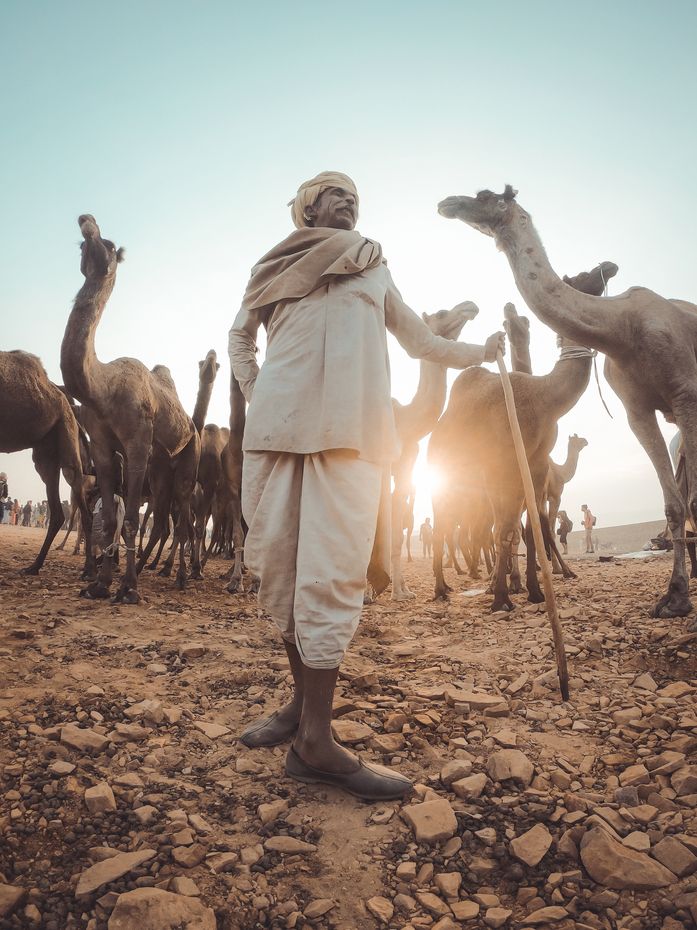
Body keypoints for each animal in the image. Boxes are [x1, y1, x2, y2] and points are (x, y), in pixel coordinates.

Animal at [0, 352, 94, 577]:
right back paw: (34, 566)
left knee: (81, 504)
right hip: (46, 451)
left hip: (66, 432)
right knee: (58, 512)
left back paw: (89, 569)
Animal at [61, 215, 199, 602]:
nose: (87, 220)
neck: (103, 388)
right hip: (163, 471)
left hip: (189, 460)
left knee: (185, 521)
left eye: (109, 245)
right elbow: (110, 520)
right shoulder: (102, 447)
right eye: (83, 246)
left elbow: (132, 520)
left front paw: (129, 589)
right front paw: (100, 584)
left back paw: (181, 577)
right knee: (169, 520)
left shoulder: (137, 443)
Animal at [438, 185, 697, 619]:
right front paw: (675, 596)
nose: (446, 203)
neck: (622, 329)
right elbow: (675, 504)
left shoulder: (684, 395)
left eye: (485, 195)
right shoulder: (636, 411)